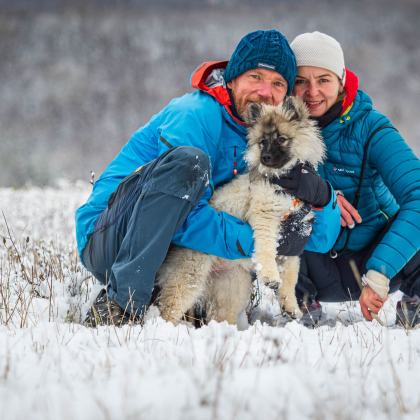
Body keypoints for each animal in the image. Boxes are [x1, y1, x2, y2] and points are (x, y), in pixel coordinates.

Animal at [156, 97, 326, 326]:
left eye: (282, 139)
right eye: (262, 141)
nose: (266, 157)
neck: (286, 182)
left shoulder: (295, 237)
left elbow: (291, 277)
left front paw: (291, 307)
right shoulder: (265, 217)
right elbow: (266, 251)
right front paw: (270, 277)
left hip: (230, 289)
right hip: (189, 278)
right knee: (169, 309)